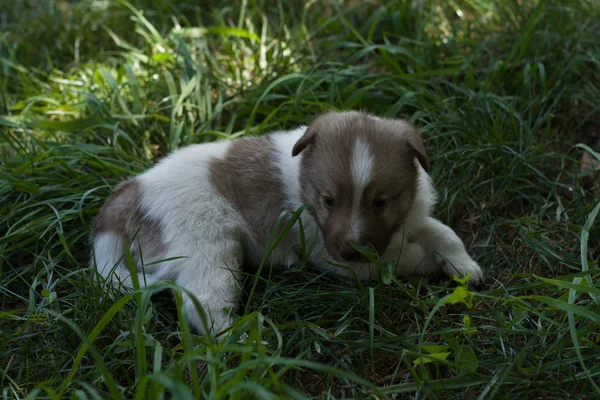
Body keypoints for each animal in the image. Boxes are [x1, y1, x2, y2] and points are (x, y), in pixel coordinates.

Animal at [90, 110, 482, 334]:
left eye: (381, 202)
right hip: (209, 249)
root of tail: (130, 192)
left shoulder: (408, 217)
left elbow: (443, 231)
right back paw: (240, 341)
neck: (304, 182)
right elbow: (396, 258)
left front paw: (463, 265)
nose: (349, 250)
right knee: (202, 305)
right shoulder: (330, 255)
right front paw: (427, 260)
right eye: (328, 201)